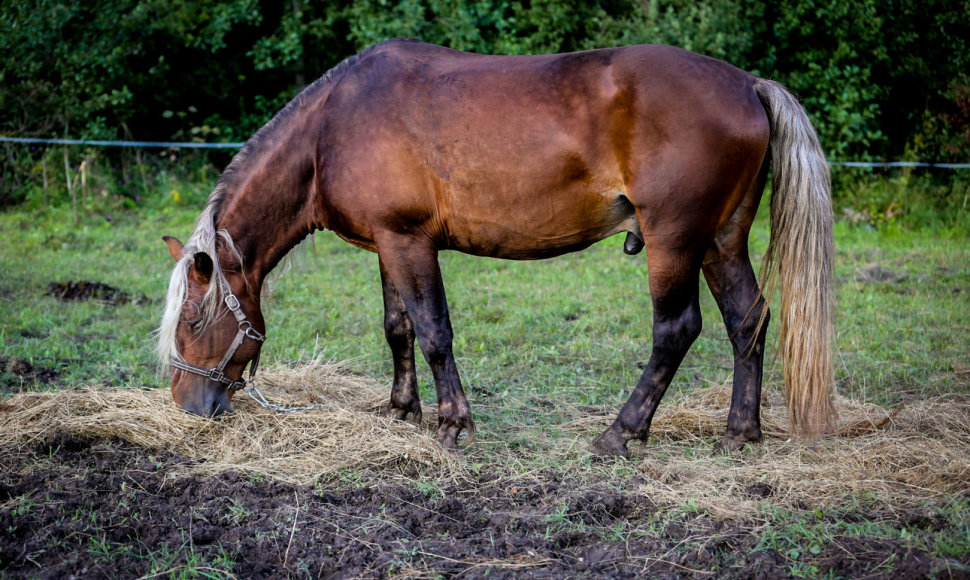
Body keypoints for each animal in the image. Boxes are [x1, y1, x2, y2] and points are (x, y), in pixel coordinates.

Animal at [157, 39, 832, 458]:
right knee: (748, 321)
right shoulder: (386, 244)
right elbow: (398, 329)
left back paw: (620, 433)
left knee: (677, 329)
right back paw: (740, 433)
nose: (189, 407)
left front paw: (454, 424)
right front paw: (401, 412)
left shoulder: (409, 242)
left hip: (675, 239)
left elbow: (434, 332)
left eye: (194, 320)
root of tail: (747, 84)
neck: (333, 126)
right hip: (721, 240)